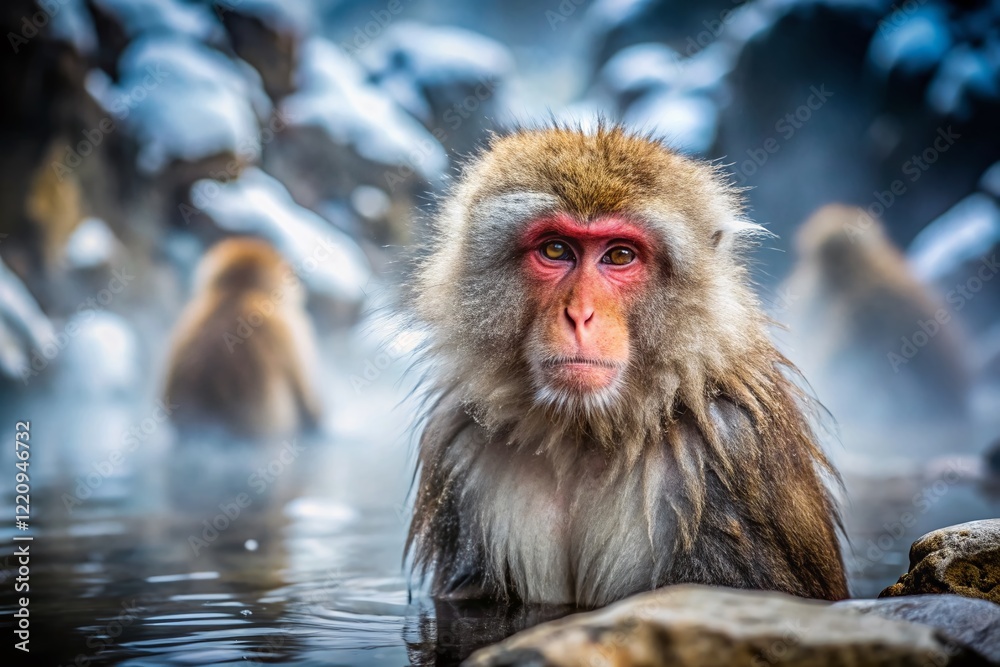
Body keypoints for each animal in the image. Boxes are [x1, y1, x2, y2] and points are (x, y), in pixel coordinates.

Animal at [405, 125, 848, 609]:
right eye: (556, 249)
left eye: (619, 256)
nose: (580, 315)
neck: (583, 435)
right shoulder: (458, 445)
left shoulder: (734, 444)